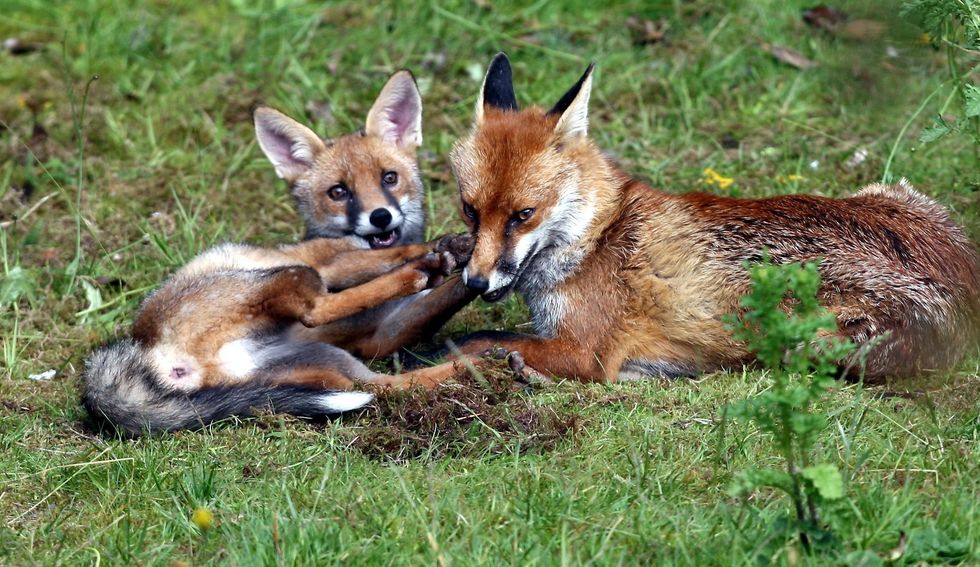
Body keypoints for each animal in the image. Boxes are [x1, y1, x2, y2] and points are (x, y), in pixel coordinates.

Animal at [254, 70, 476, 359]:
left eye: (389, 178)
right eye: (338, 192)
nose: (380, 217)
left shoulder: (384, 335)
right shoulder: (328, 261)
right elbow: (390, 255)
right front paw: (440, 250)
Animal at [448, 53, 980, 383]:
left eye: (523, 214)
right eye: (470, 210)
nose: (474, 282)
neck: (597, 236)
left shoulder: (582, 349)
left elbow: (476, 339)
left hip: (801, 340)